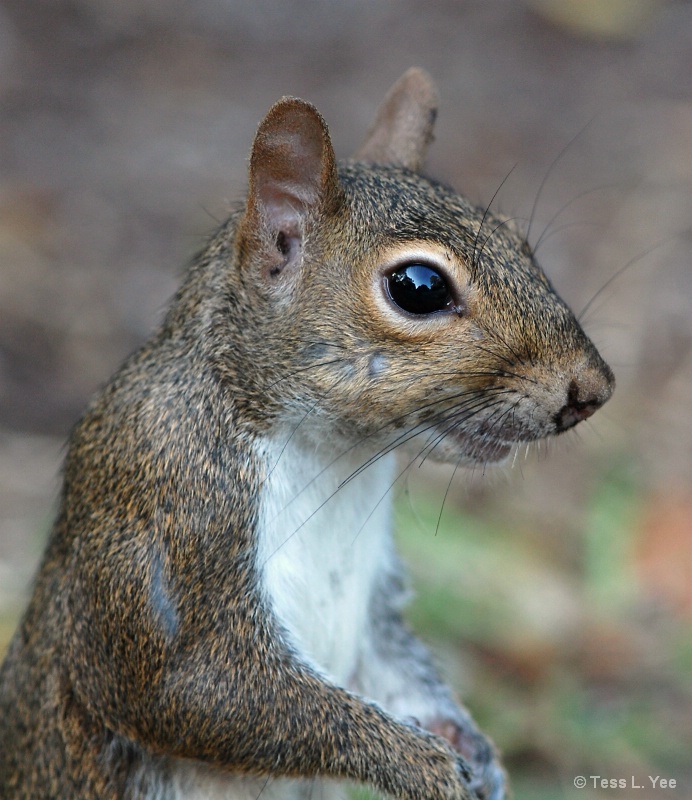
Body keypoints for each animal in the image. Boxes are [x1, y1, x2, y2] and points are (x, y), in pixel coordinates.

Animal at [1, 69, 616, 800]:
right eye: (418, 287)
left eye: (518, 239)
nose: (593, 390)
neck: (334, 456)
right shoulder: (166, 510)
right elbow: (199, 691)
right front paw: (425, 764)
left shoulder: (375, 599)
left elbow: (391, 661)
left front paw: (471, 745)